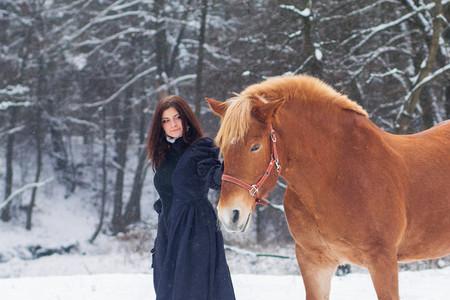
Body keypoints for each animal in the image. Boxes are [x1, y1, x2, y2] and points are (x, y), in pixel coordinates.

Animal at [206, 74, 450, 300]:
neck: (339, 176)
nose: (230, 214)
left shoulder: (383, 261)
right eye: (222, 147)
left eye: (255, 146)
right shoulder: (314, 262)